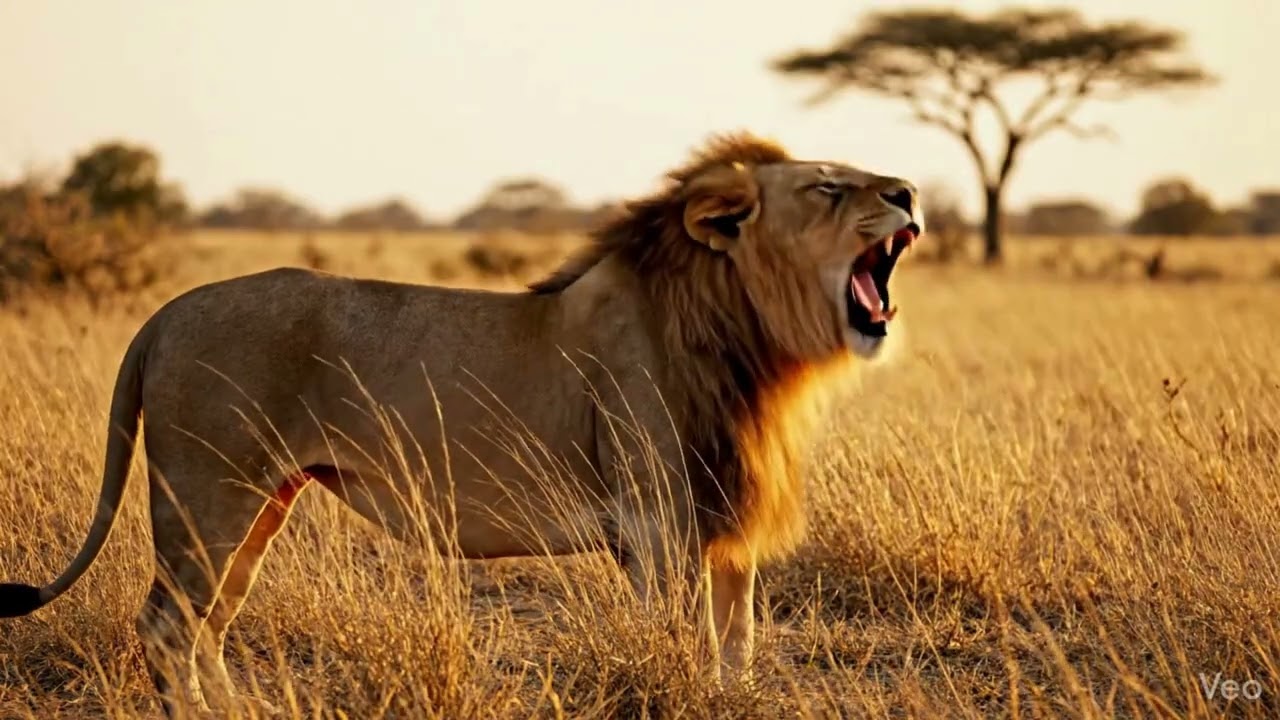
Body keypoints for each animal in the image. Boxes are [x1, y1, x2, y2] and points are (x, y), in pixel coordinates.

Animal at [0, 132, 923, 716]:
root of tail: (164, 313)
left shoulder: (720, 526)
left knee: (207, 629)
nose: (910, 190)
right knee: (165, 628)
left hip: (259, 505)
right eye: (828, 186)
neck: (747, 341)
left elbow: (738, 649)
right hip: (207, 499)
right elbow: (689, 644)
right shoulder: (658, 525)